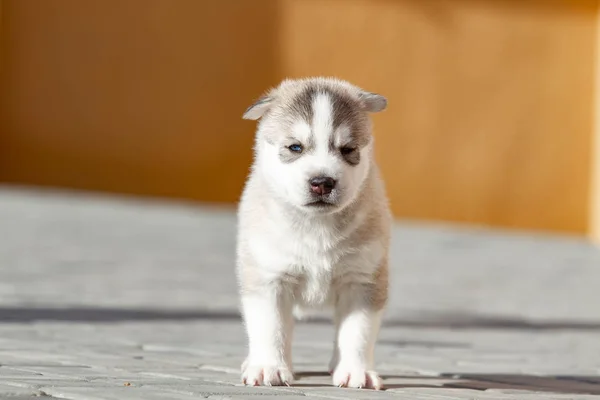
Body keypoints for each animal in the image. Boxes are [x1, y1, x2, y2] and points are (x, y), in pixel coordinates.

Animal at [237, 76, 392, 390]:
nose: (322, 182)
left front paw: (356, 371)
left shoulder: (362, 280)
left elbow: (357, 333)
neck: (316, 226)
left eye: (347, 149)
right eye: (295, 147)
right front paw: (268, 368)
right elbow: (271, 327)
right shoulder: (268, 278)